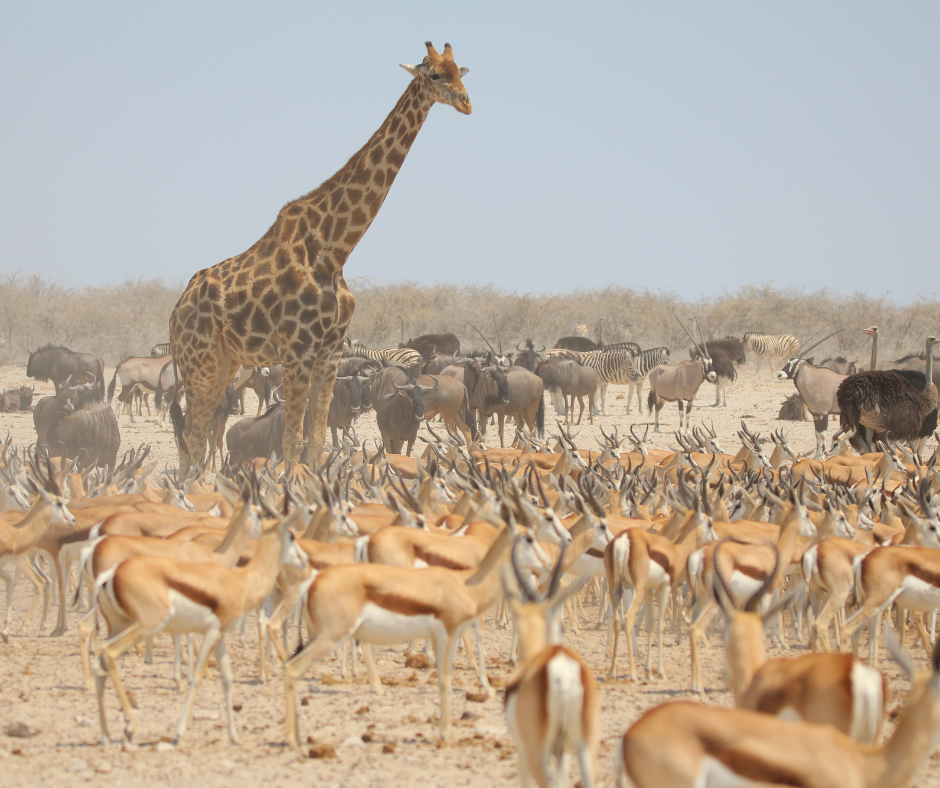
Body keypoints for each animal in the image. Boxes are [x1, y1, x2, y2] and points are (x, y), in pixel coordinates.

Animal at [169, 42, 471, 473]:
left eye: (461, 71)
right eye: (434, 75)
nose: (466, 103)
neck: (334, 248)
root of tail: (175, 314)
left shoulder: (330, 350)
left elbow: (316, 439)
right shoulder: (297, 351)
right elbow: (293, 439)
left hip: (223, 361)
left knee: (192, 434)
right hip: (200, 360)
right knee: (193, 434)